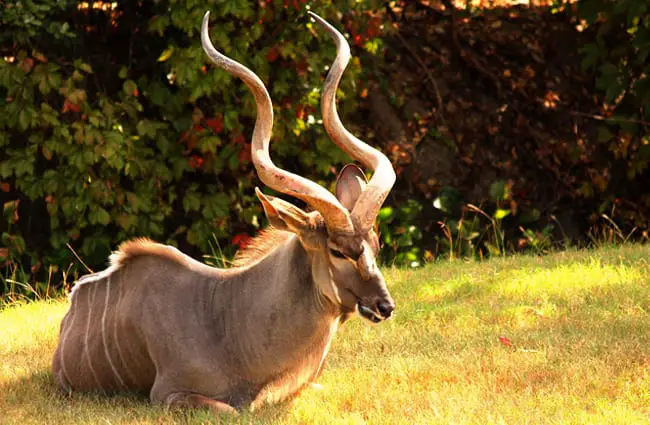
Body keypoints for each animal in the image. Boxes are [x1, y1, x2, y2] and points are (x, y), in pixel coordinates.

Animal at [52, 10, 394, 414]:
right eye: (338, 251)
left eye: (376, 247)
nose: (385, 305)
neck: (228, 323)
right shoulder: (168, 395)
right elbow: (229, 409)